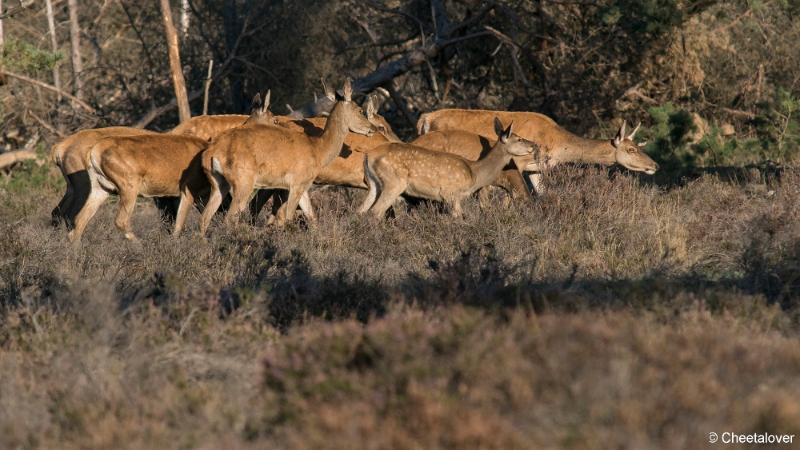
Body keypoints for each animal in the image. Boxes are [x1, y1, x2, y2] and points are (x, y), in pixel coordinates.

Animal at [362, 118, 536, 219]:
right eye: (519, 139)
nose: (534, 145)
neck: (474, 173)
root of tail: (368, 156)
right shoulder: (450, 193)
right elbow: (458, 219)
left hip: (374, 185)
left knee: (362, 210)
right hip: (394, 182)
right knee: (376, 212)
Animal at [412, 110, 656, 192]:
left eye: (639, 146)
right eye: (631, 149)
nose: (654, 165)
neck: (557, 145)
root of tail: (425, 118)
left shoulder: (536, 168)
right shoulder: (519, 161)